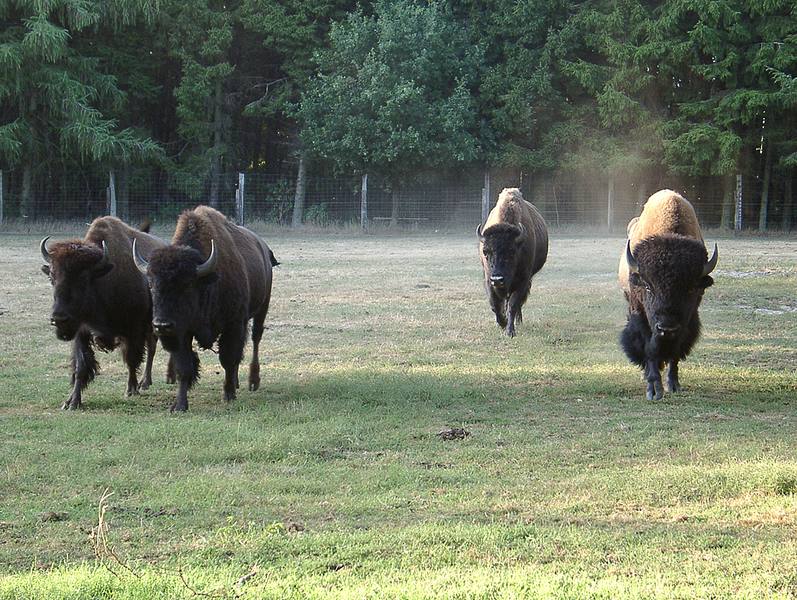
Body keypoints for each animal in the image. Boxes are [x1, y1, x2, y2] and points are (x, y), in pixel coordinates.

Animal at [40, 216, 166, 408]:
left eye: (83, 278)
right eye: (52, 277)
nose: (58, 318)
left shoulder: (133, 330)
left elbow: (132, 359)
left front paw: (131, 389)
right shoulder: (81, 332)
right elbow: (81, 366)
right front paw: (72, 402)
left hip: (152, 325)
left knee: (151, 348)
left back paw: (144, 383)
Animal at [472, 189, 548, 338]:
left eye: (512, 252)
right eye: (485, 252)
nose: (498, 279)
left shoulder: (523, 280)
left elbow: (513, 304)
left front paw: (510, 330)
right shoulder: (488, 279)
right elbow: (494, 304)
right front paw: (502, 323)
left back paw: (518, 321)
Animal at [620, 190, 720, 400]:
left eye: (690, 289)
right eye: (648, 287)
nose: (666, 328)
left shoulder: (687, 320)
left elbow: (676, 349)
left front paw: (673, 384)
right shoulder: (641, 315)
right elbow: (648, 348)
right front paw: (654, 389)